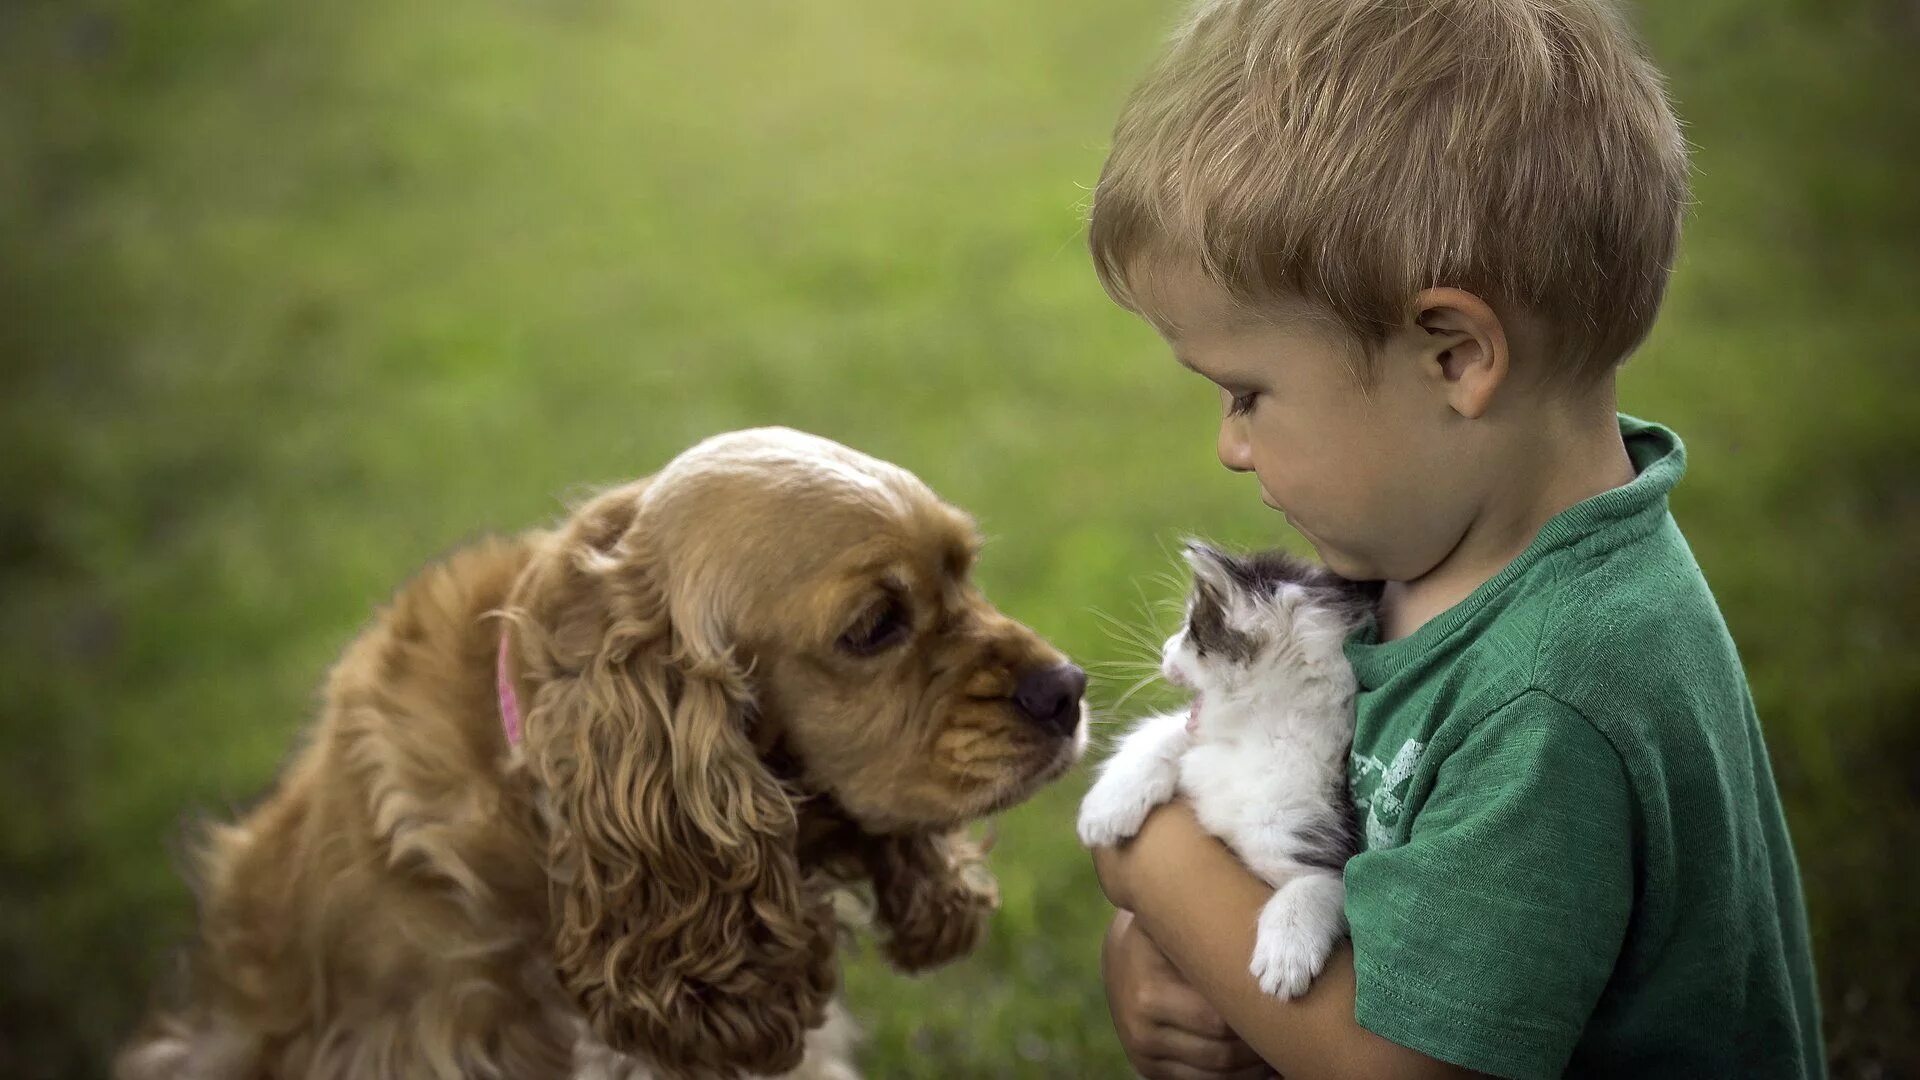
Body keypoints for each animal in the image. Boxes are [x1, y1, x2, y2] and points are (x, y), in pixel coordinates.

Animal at [1082, 541, 1382, 999]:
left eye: (1192, 630)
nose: (1165, 650)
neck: (1255, 740)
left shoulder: (1314, 835)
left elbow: (1322, 882)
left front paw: (1286, 953)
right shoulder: (1202, 747)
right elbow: (1164, 732)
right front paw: (1108, 805)